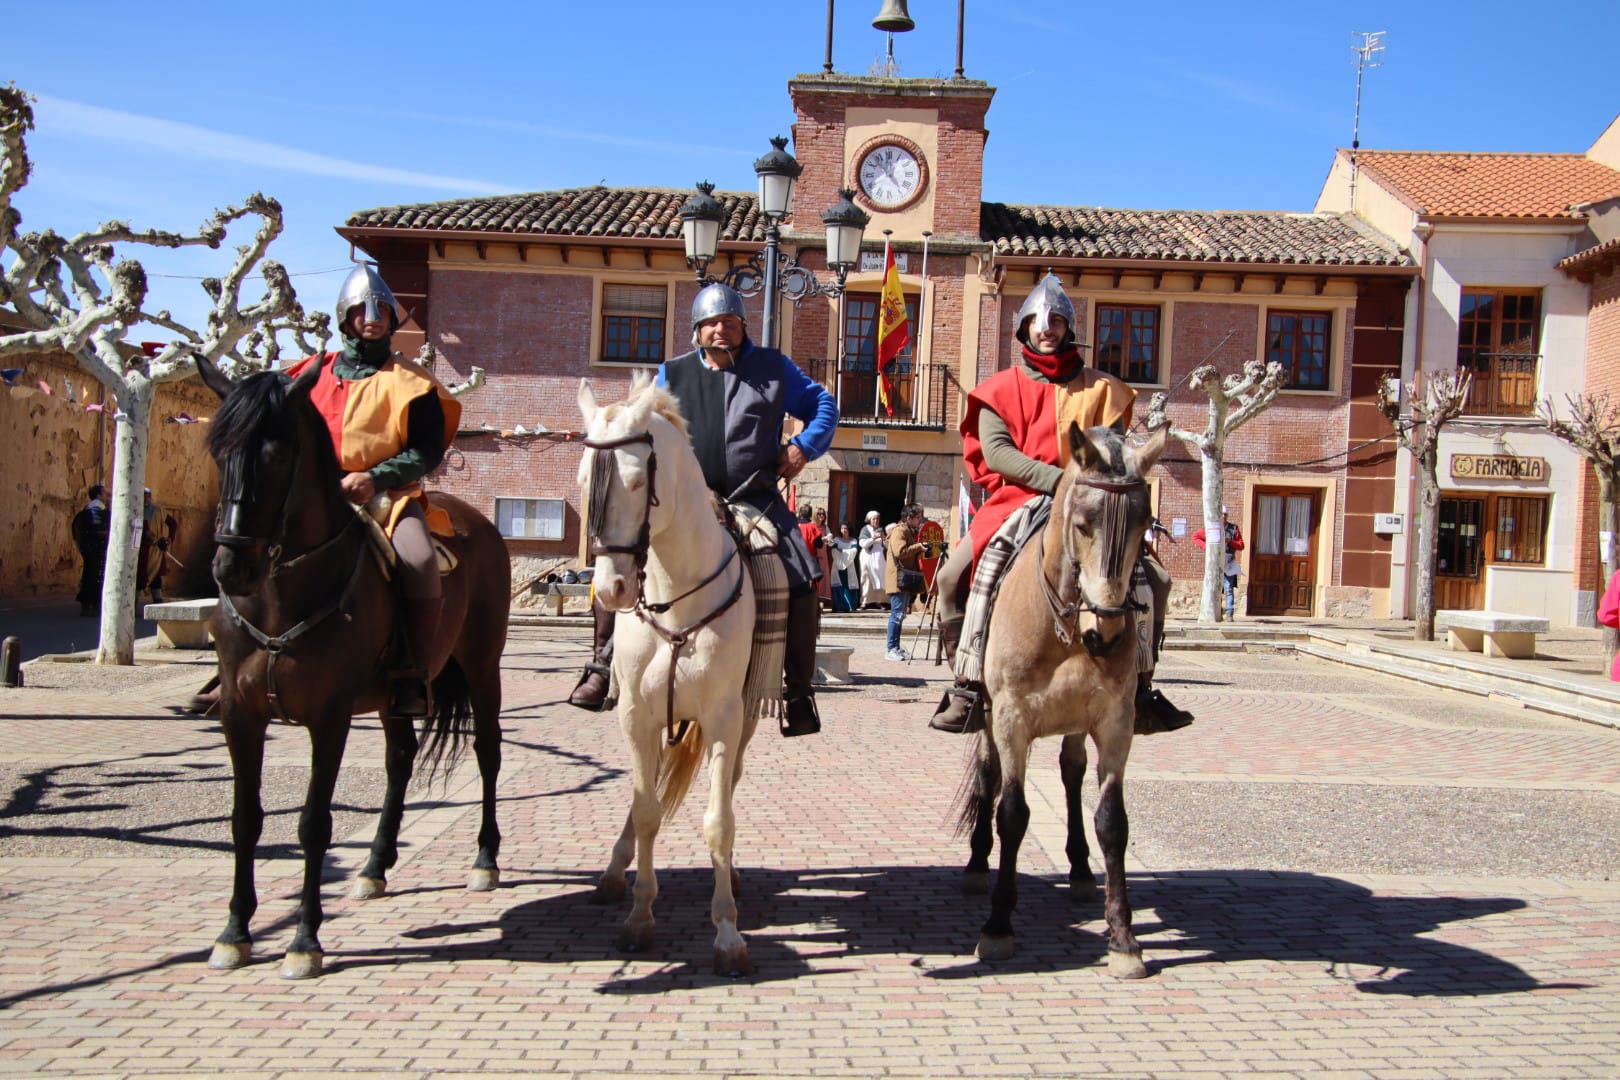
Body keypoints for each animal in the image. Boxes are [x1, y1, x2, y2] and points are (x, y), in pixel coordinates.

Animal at [197, 359, 511, 984]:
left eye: (277, 454)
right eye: (219, 451)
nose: (231, 567)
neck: (280, 595)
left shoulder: (330, 716)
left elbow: (314, 825)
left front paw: (304, 941)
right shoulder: (239, 715)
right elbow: (245, 818)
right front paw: (234, 932)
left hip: (482, 666)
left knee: (487, 751)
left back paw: (484, 859)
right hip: (398, 693)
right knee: (400, 759)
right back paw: (374, 865)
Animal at [579, 375, 761, 977]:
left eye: (638, 480)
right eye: (584, 480)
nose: (611, 589)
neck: (678, 600)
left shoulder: (726, 719)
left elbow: (719, 820)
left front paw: (727, 931)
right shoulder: (637, 717)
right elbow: (645, 811)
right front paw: (639, 917)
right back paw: (616, 871)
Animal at [946, 424, 1166, 977]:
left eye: (1143, 525)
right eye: (1083, 524)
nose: (1106, 629)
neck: (1064, 627)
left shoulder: (1115, 722)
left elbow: (1112, 821)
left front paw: (1124, 939)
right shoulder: (1010, 719)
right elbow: (1011, 813)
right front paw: (997, 926)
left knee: (1070, 774)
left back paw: (1082, 870)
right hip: (987, 717)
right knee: (989, 776)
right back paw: (977, 865)